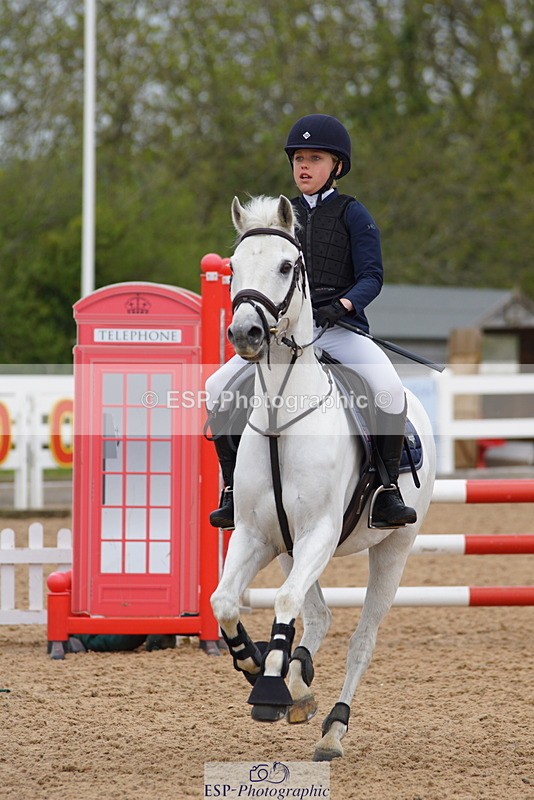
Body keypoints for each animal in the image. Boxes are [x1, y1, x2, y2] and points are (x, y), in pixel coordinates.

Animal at [210, 194, 436, 762]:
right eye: (233, 267)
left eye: (287, 266)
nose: (244, 333)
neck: (280, 417)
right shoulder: (257, 535)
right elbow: (224, 601)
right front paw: (255, 663)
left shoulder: (320, 533)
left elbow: (287, 601)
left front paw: (268, 689)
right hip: (290, 549)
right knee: (320, 617)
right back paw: (298, 683)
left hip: (393, 548)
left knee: (361, 639)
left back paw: (333, 725)